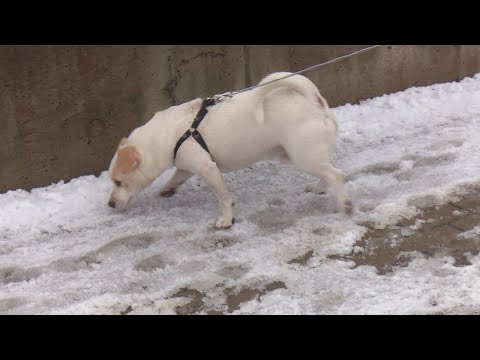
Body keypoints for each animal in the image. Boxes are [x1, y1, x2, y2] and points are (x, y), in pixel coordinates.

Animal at [109, 71, 352, 228]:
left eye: (118, 182)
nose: (110, 204)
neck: (173, 133)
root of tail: (313, 99)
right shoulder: (187, 166)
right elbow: (177, 177)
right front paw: (167, 189)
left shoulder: (208, 168)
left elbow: (224, 198)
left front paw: (226, 220)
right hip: (297, 154)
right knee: (331, 168)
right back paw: (320, 187)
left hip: (303, 155)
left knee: (335, 173)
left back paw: (346, 205)